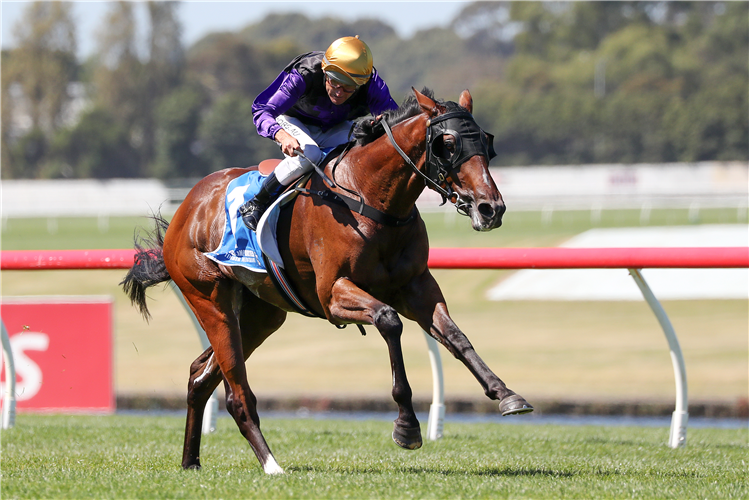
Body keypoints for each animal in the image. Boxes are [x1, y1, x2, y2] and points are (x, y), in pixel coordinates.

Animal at [122, 88, 532, 474]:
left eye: (486, 142)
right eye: (448, 144)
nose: (490, 208)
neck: (370, 198)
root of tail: (187, 207)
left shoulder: (416, 286)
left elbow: (455, 336)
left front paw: (506, 394)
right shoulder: (333, 294)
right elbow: (389, 321)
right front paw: (406, 425)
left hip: (261, 315)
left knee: (200, 376)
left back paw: (191, 459)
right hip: (210, 299)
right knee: (236, 391)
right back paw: (271, 464)